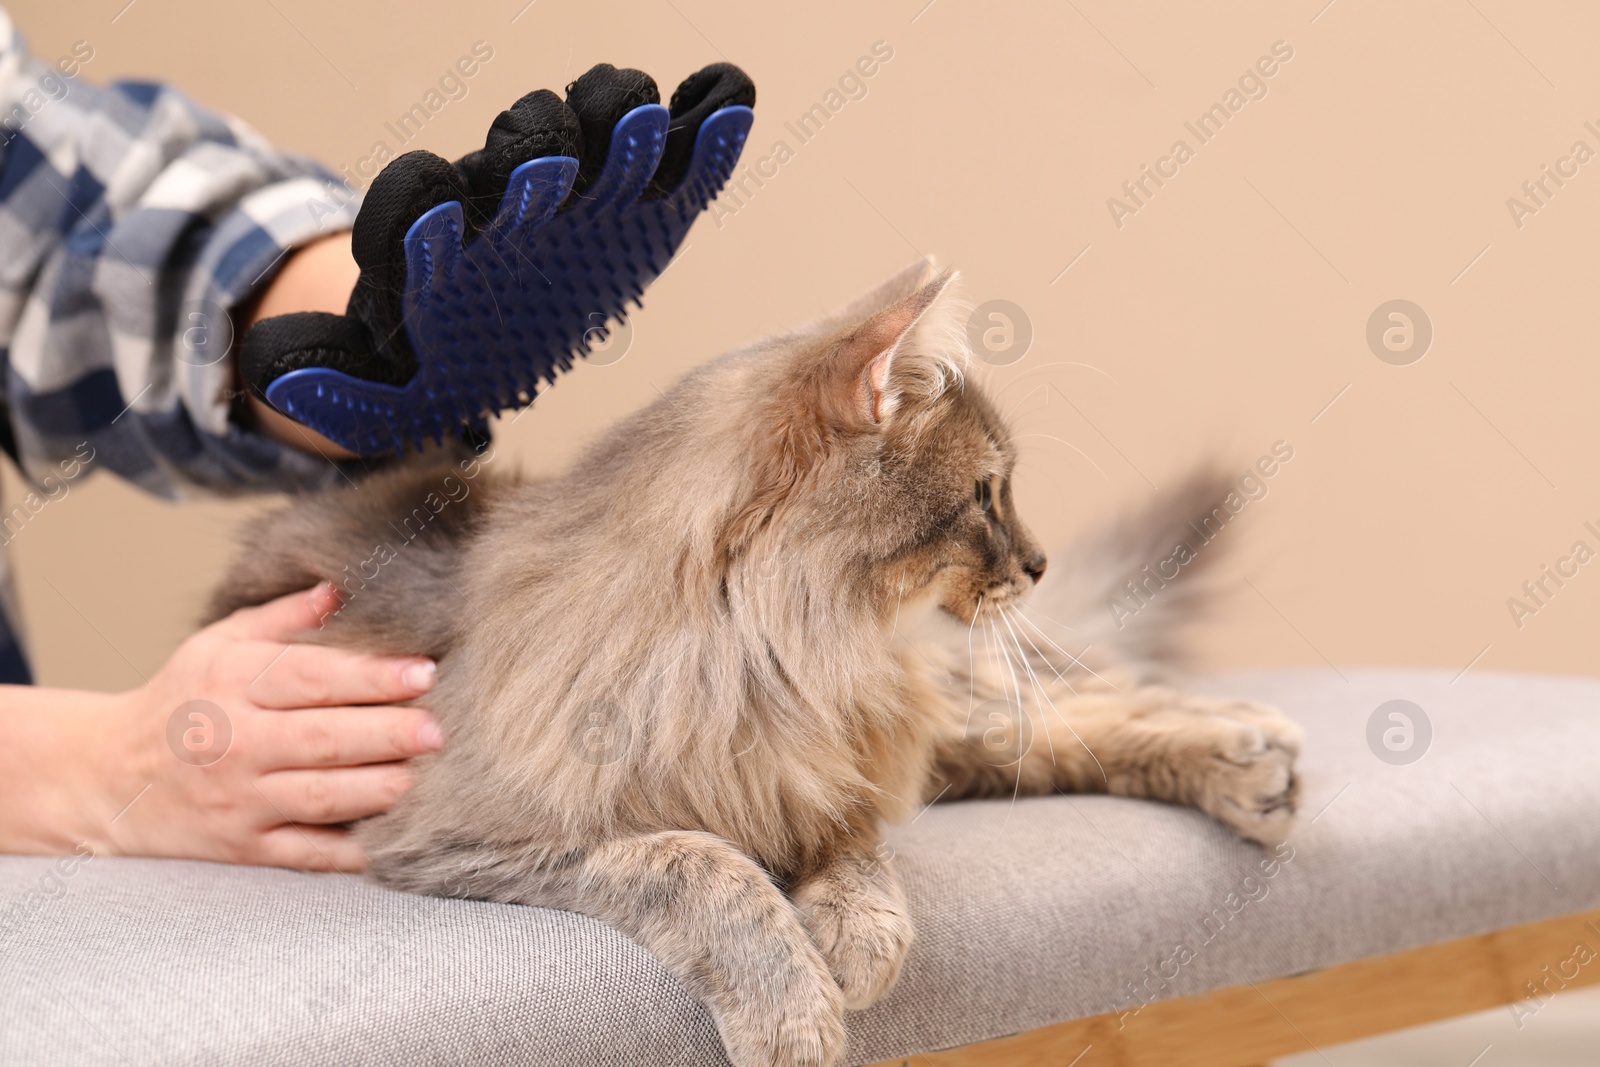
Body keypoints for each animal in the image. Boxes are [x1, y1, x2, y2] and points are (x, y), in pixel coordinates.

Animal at [212, 260, 1305, 1067]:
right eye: (986, 493)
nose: (1038, 563)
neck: (772, 658)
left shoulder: (831, 762)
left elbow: (854, 848)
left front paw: (857, 944)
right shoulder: (459, 834)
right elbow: (702, 861)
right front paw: (797, 1011)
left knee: (1075, 710)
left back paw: (1252, 758)